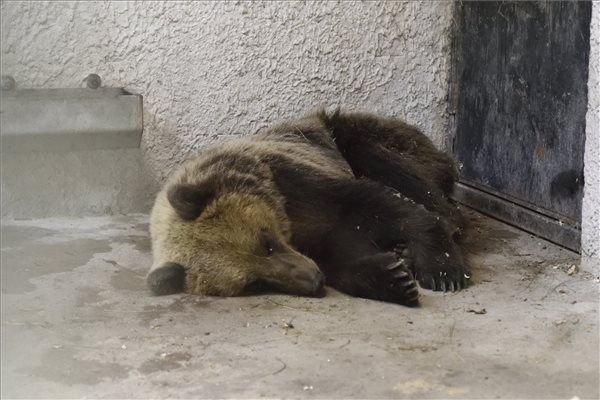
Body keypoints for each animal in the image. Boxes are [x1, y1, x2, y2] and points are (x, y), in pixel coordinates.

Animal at [146, 109, 468, 306]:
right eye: (254, 284)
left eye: (266, 241)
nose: (314, 281)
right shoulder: (314, 238)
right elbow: (342, 255)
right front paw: (394, 277)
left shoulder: (297, 182)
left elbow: (377, 204)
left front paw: (442, 271)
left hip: (361, 137)